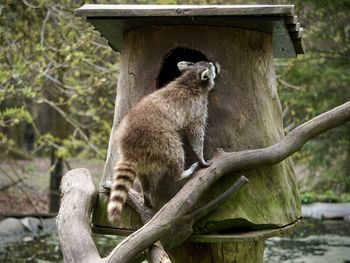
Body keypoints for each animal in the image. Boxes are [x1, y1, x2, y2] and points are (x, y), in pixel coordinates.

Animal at [108, 61, 220, 225]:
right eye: (211, 67)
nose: (216, 64)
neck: (188, 80)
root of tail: (130, 147)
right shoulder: (196, 108)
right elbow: (195, 135)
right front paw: (201, 158)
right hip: (159, 139)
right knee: (176, 150)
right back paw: (180, 174)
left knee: (145, 176)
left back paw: (147, 194)